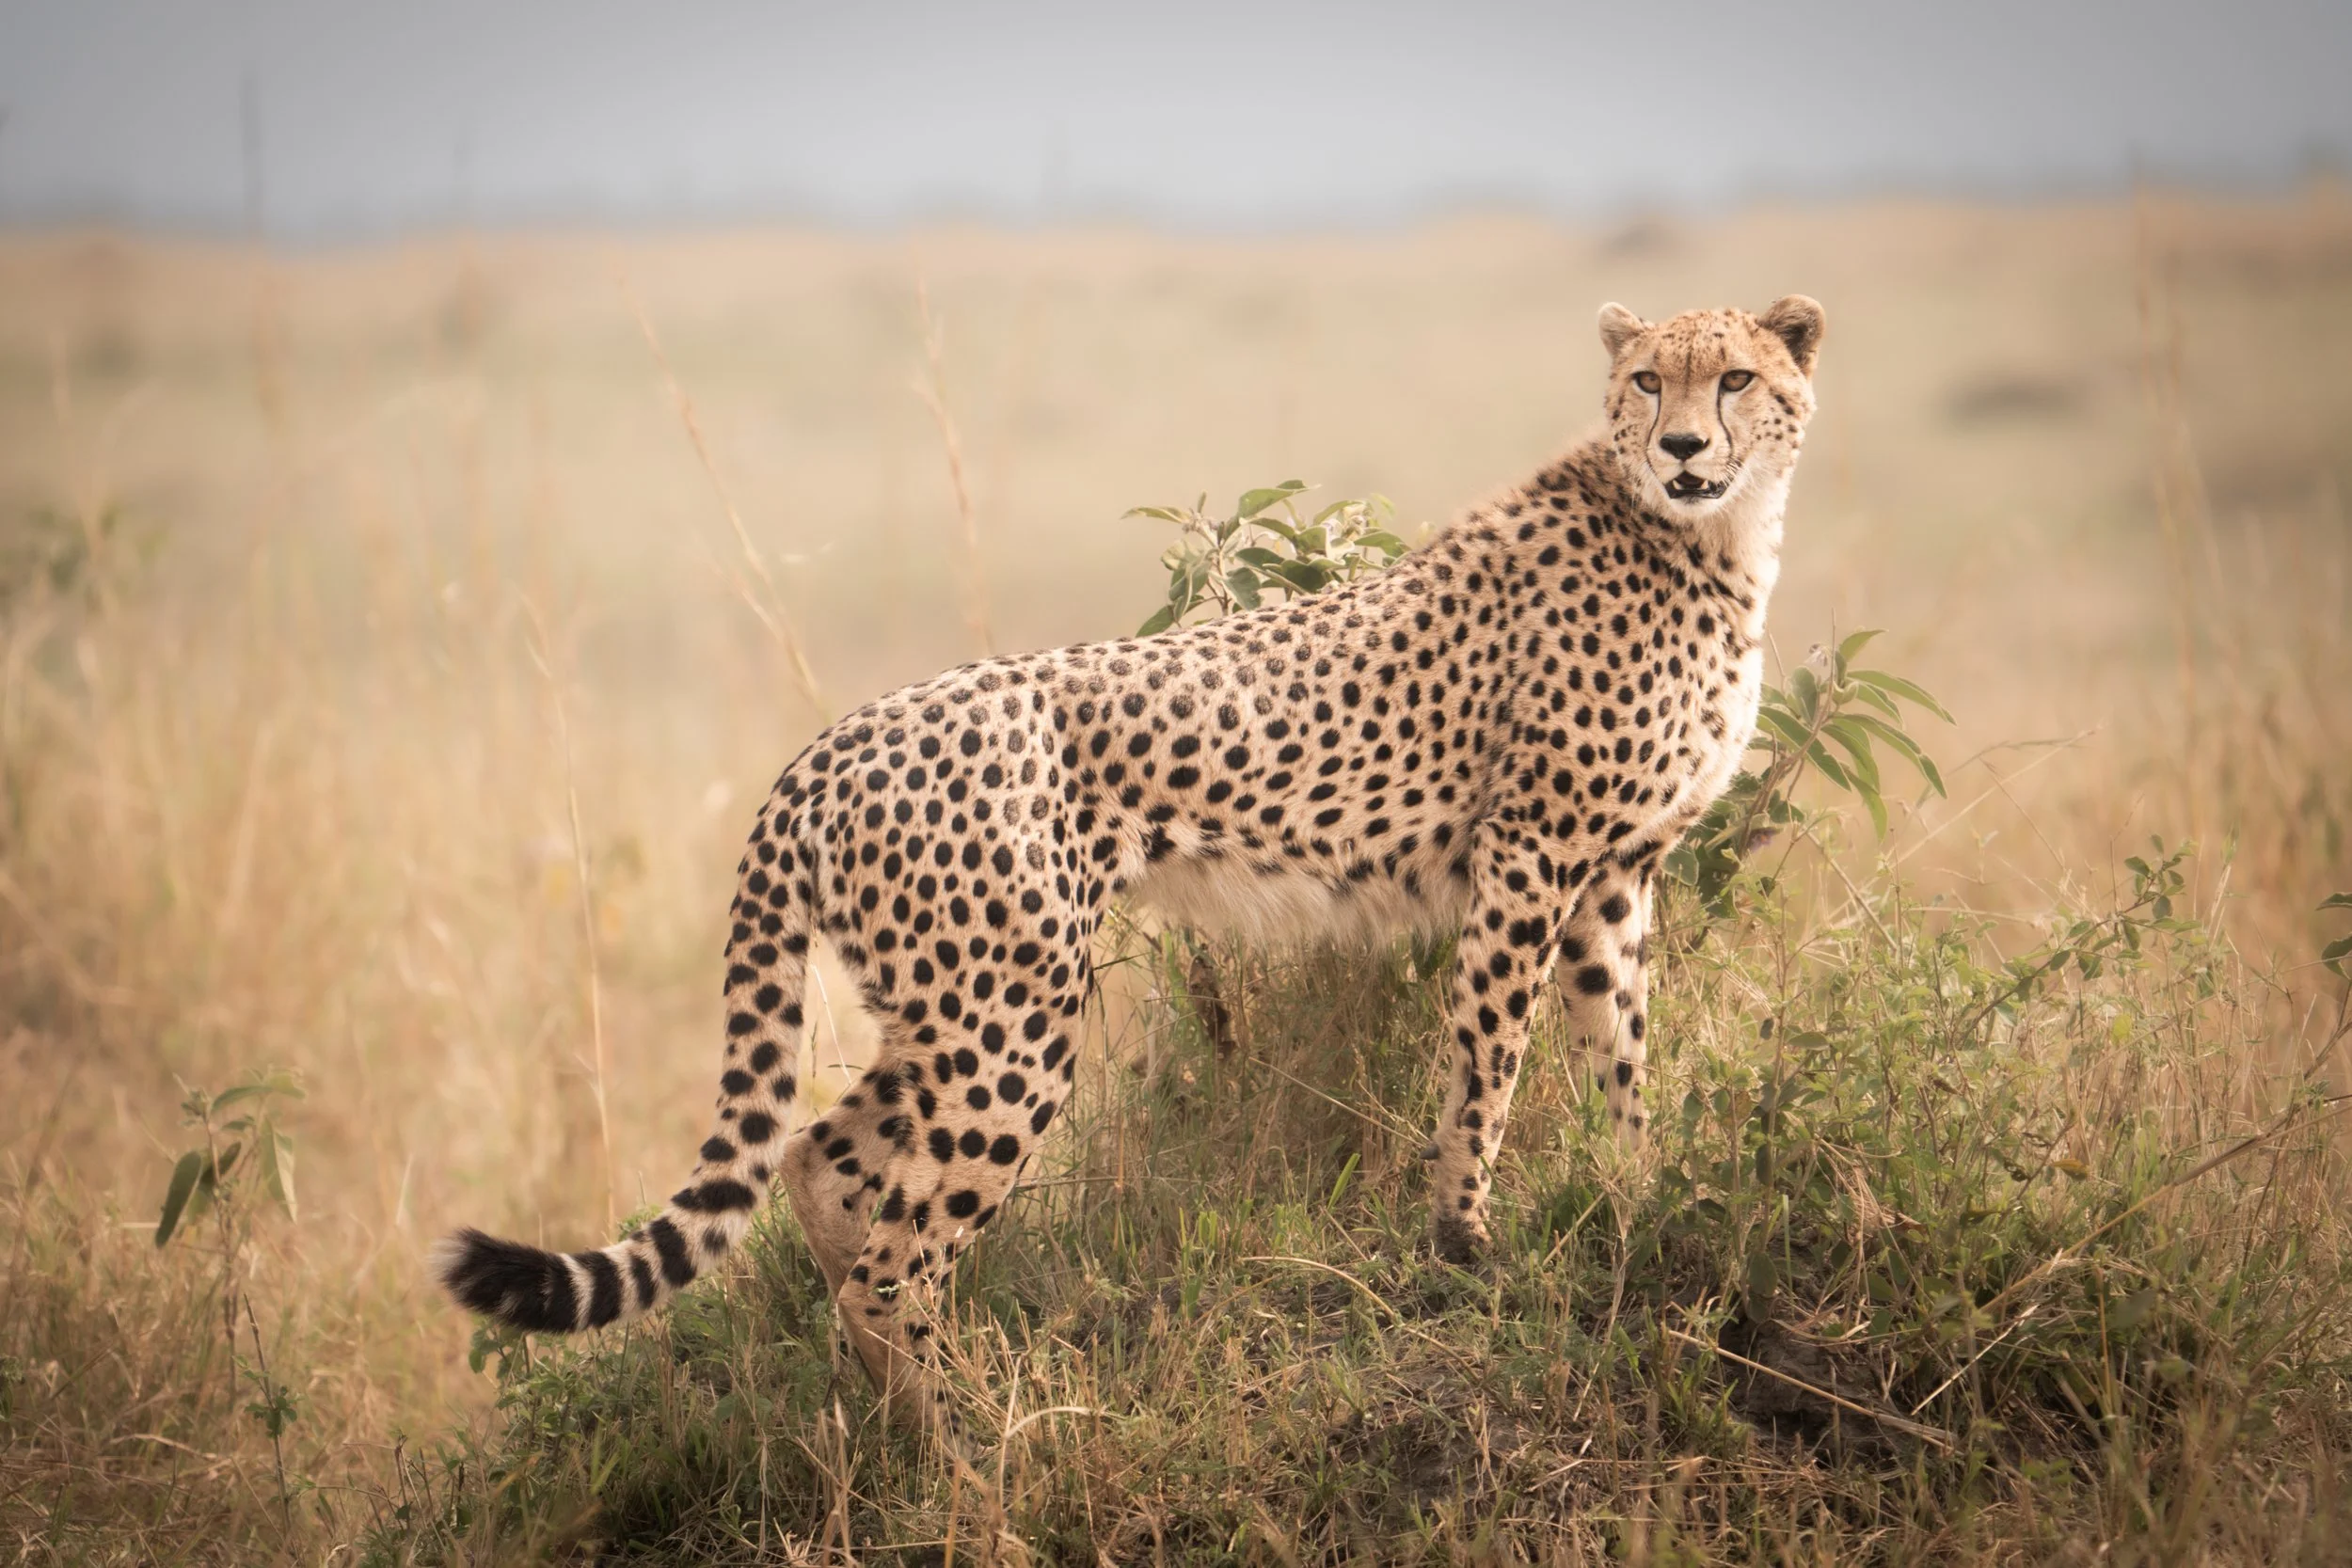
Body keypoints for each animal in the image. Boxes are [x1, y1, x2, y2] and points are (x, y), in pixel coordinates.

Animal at [436, 293, 1826, 1438]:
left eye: (1734, 379)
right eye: (1647, 380)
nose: (1683, 448)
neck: (1709, 538)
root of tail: (835, 739)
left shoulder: (1614, 873)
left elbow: (1620, 1052)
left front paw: (1640, 1196)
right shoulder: (1529, 854)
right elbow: (1487, 1062)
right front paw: (1464, 1242)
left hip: (948, 1004)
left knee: (821, 1160)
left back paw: (890, 1422)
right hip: (1010, 1016)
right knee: (894, 1249)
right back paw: (973, 1447)